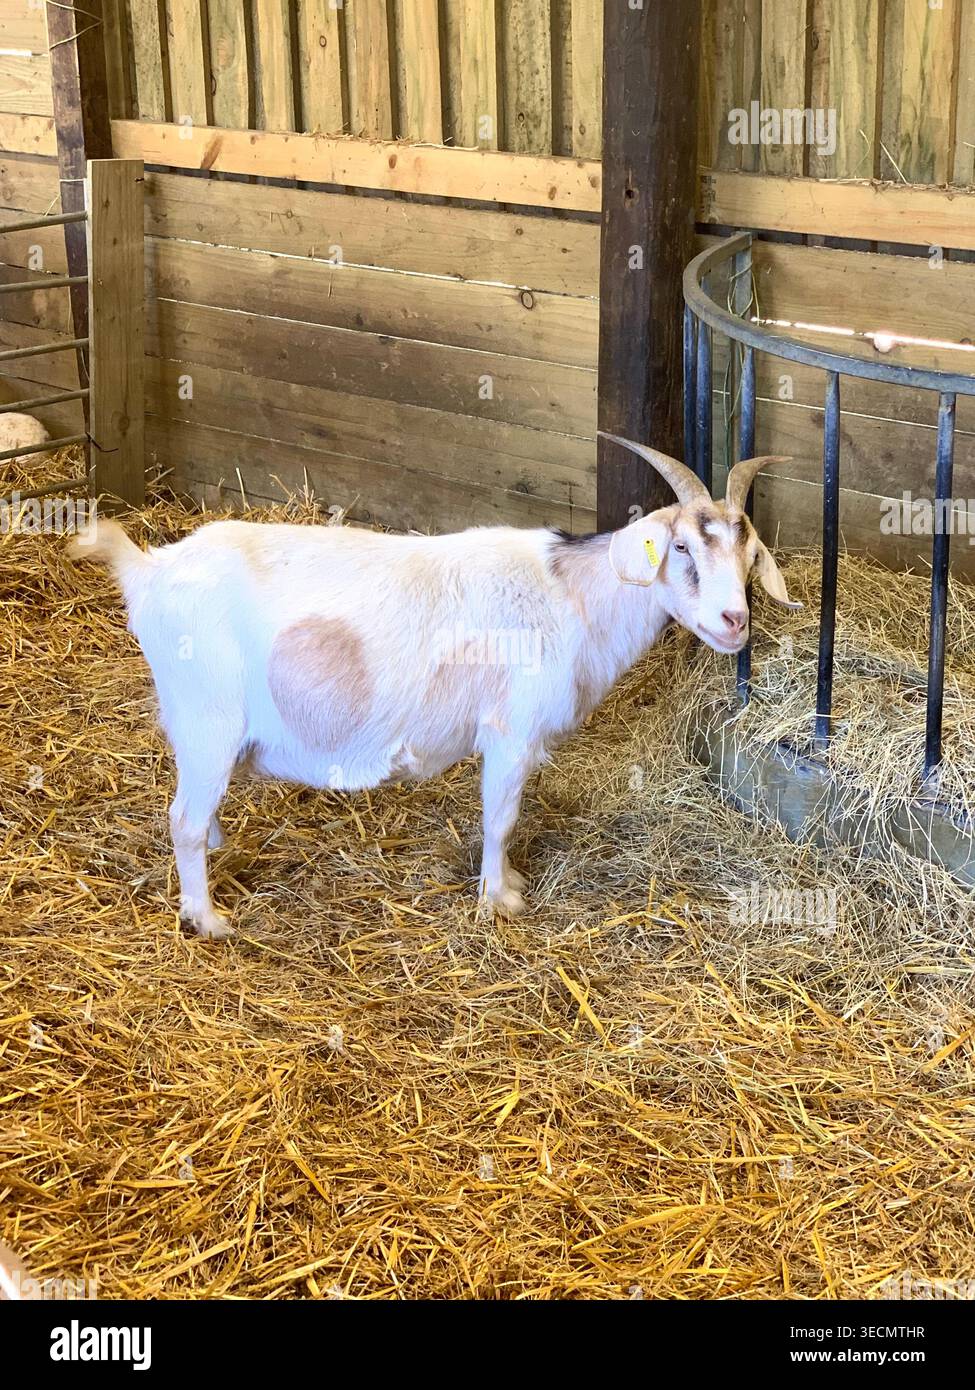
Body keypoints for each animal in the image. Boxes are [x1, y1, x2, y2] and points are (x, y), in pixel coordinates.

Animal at [71, 438, 798, 938]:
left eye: (748, 553)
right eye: (680, 548)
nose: (734, 621)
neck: (570, 595)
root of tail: (149, 569)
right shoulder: (509, 732)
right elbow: (500, 818)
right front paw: (500, 898)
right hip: (210, 714)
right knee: (182, 819)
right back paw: (208, 918)